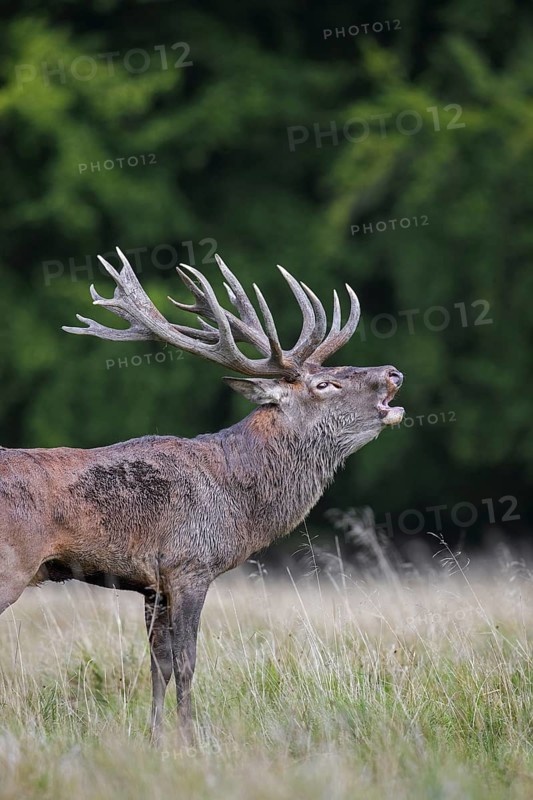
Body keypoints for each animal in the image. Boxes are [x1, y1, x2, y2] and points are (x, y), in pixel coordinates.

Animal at [0, 248, 404, 742]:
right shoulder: (189, 564)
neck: (237, 499)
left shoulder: (151, 584)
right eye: (324, 384)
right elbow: (187, 662)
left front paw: (156, 738)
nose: (393, 372)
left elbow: (158, 665)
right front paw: (190, 739)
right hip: (10, 566)